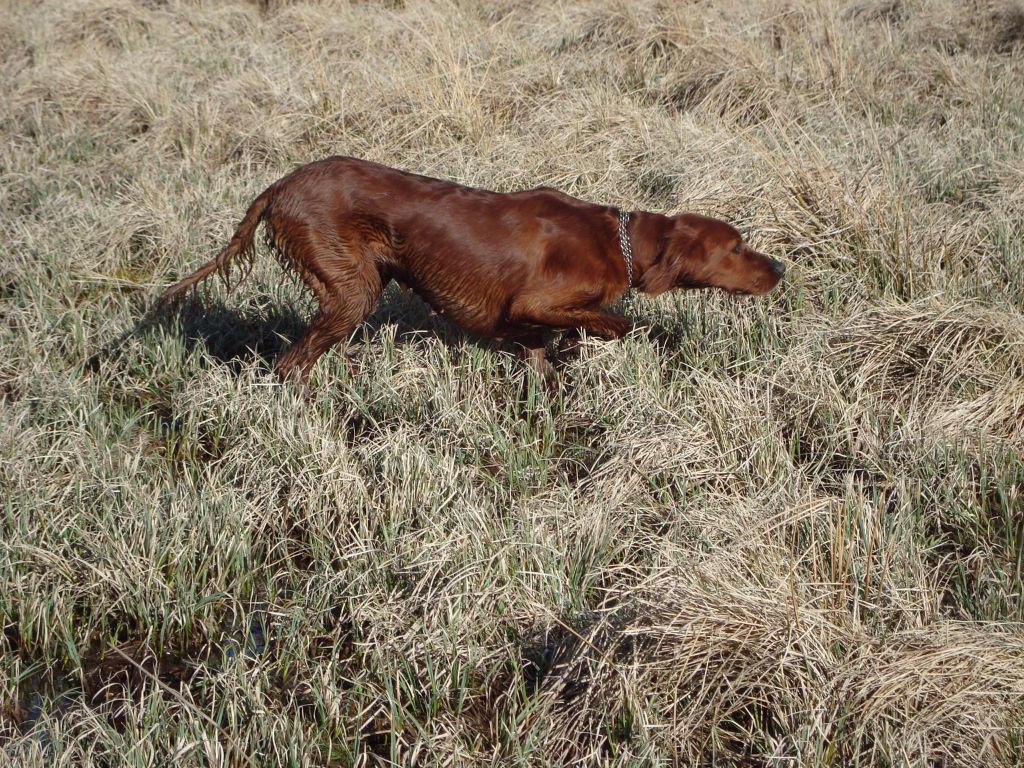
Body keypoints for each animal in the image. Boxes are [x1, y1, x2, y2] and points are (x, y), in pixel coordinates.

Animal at [157, 156, 782, 385]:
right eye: (736, 246)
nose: (778, 268)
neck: (618, 241)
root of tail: (282, 185)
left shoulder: (529, 324)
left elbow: (543, 353)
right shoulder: (533, 303)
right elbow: (616, 322)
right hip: (352, 290)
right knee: (291, 363)